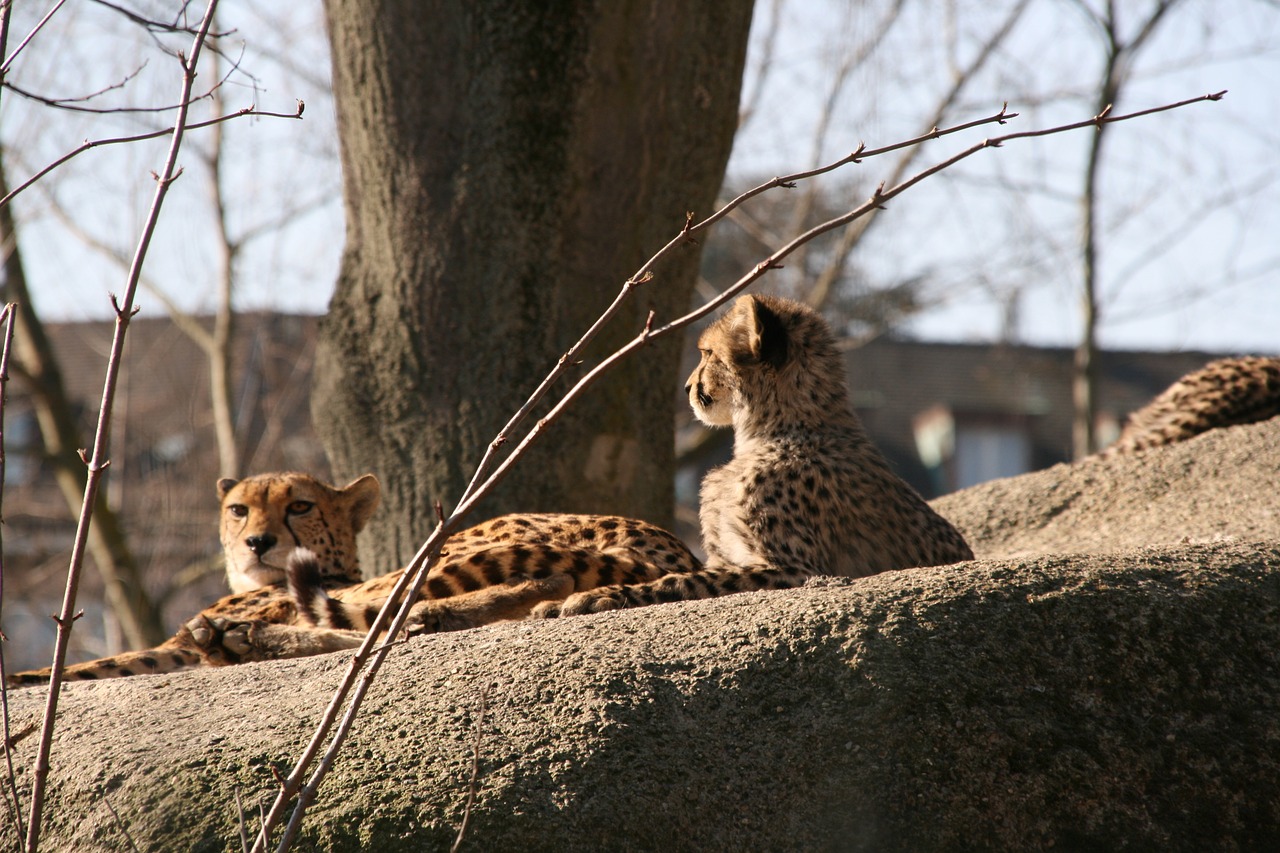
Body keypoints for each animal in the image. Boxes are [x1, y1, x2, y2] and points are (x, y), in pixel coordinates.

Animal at [7, 468, 701, 681]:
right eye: (239, 509)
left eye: (299, 506)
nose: (258, 541)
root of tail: (678, 548)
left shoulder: (167, 644)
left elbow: (76, 669)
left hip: (454, 546)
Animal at [529, 290, 967, 612]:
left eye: (707, 354)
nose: (686, 387)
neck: (777, 430)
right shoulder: (731, 557)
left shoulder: (797, 570)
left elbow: (682, 579)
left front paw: (594, 596)